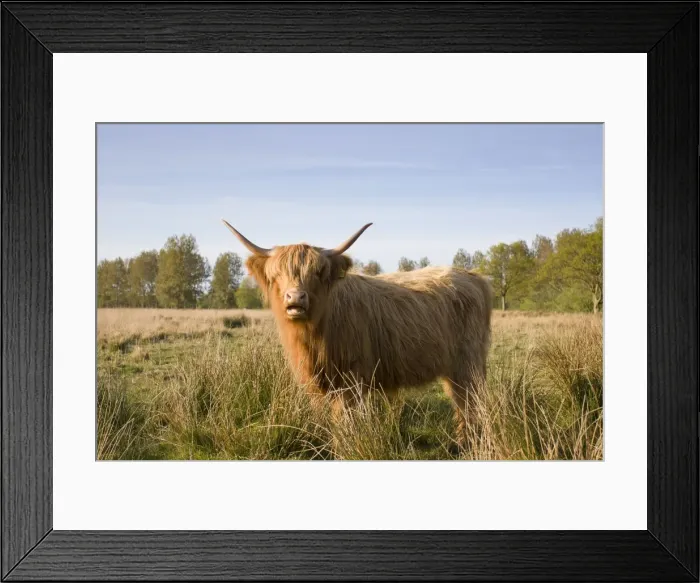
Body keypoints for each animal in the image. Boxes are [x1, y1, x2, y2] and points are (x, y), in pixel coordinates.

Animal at [222, 219, 493, 437]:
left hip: (467, 362)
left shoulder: (352, 378)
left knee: (470, 401)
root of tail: (474, 277)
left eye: (318, 272)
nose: (296, 298)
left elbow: (347, 420)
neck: (316, 334)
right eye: (277, 273)